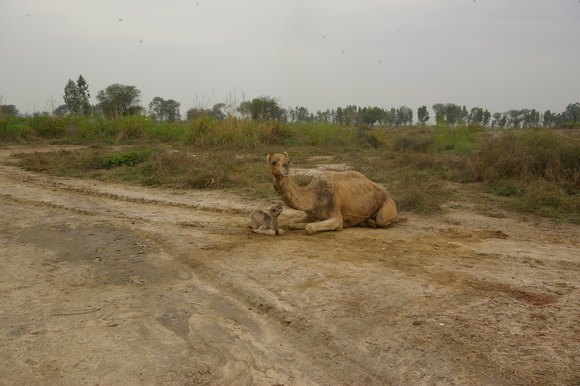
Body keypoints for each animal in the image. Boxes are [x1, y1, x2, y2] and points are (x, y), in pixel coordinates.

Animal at [266, 152, 398, 234]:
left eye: (289, 161)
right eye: (273, 162)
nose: (285, 167)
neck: (313, 195)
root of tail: (388, 194)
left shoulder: (335, 216)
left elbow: (310, 227)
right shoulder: (310, 214)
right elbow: (291, 223)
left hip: (388, 206)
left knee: (382, 219)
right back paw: (368, 222)